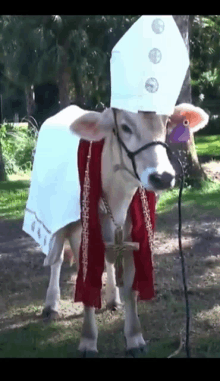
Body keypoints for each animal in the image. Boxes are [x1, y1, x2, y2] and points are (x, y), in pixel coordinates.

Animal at [40, 103, 209, 356]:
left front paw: (135, 338)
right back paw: (51, 305)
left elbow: (130, 289)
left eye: (167, 123)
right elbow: (87, 286)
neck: (117, 200)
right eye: (125, 127)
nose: (162, 177)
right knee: (56, 260)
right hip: (58, 223)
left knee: (109, 262)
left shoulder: (132, 239)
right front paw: (88, 341)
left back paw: (113, 299)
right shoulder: (82, 238)